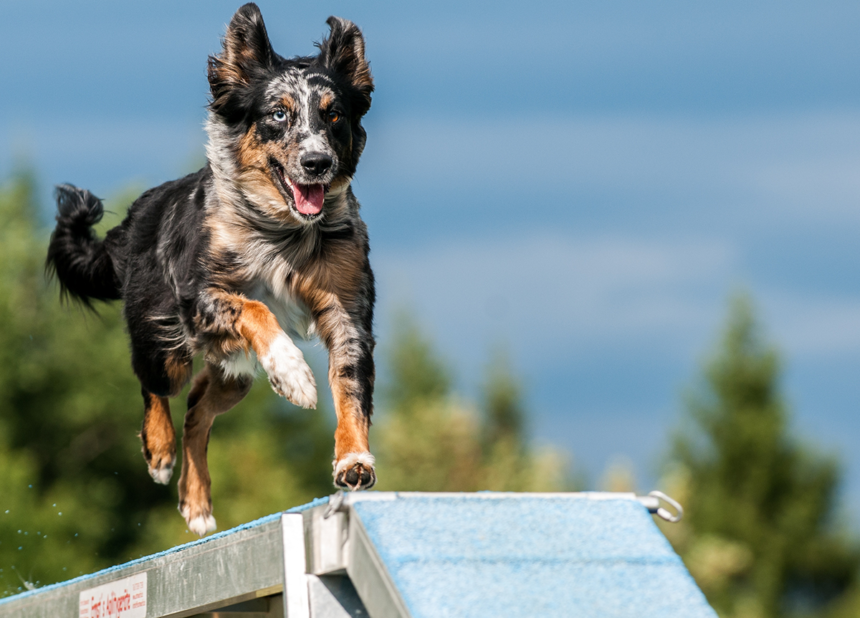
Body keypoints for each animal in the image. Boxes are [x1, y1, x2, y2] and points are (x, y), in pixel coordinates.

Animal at [46, 3, 376, 536]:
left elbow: (350, 385)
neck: (283, 233)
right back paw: (159, 453)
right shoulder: (199, 295)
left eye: (334, 115)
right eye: (278, 113)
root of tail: (137, 216)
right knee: (158, 387)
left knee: (197, 408)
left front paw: (354, 459)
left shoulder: (348, 310)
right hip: (165, 344)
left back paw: (197, 503)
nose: (318, 162)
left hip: (233, 373)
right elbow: (256, 309)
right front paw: (293, 374)